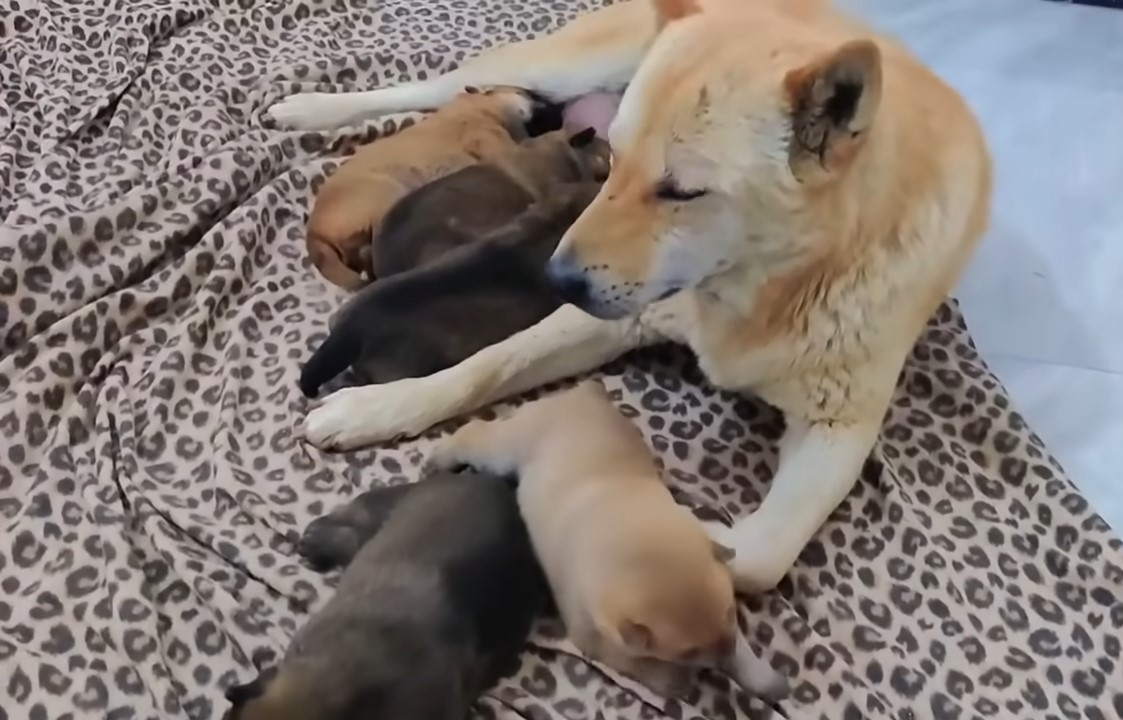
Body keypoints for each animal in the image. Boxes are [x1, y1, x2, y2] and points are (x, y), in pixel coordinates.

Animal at [424, 381, 795, 700]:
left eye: (732, 614)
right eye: (688, 652)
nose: (720, 660)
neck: (635, 548)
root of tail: (580, 393)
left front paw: (761, 677)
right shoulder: (594, 633)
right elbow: (638, 662)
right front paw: (676, 678)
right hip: (507, 448)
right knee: (475, 435)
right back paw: (442, 456)